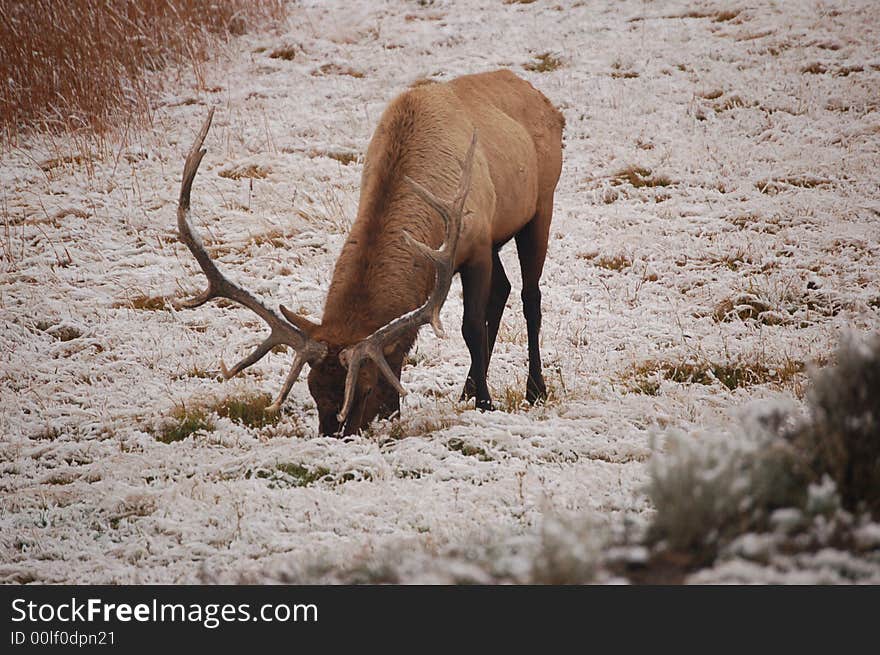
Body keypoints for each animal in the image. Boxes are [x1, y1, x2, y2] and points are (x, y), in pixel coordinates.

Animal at [177, 69, 564, 436]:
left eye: (363, 388)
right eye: (313, 390)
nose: (335, 436)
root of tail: (547, 103)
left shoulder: (478, 243)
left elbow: (471, 327)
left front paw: (485, 404)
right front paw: (400, 410)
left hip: (541, 205)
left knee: (529, 296)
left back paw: (534, 389)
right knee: (502, 290)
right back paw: (468, 388)